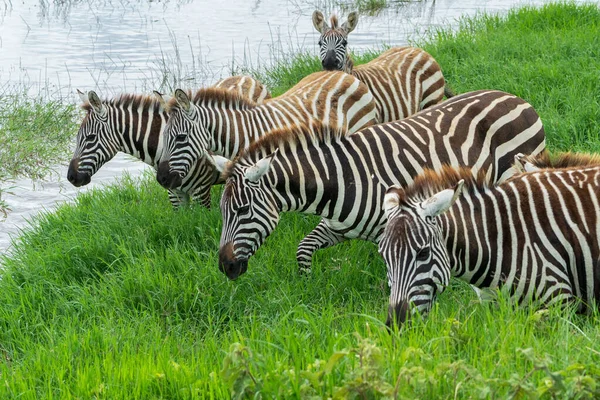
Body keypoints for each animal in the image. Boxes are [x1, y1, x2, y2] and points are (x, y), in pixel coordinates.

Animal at [213, 89, 548, 280]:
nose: (225, 268)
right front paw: (306, 284)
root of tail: (516, 98)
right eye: (222, 212)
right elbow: (303, 249)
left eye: (242, 210)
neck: (341, 179)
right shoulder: (336, 227)